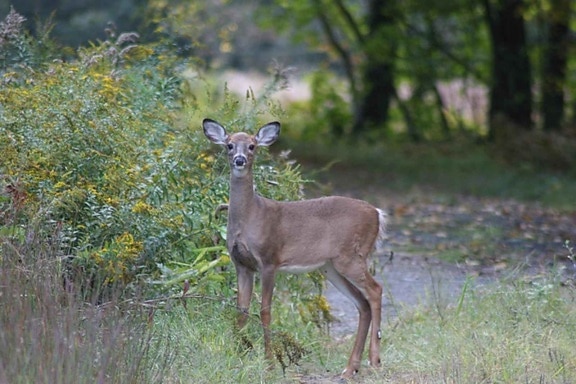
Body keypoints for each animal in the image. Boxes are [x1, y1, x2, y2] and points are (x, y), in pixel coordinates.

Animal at [202, 118, 388, 378]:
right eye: (229, 145)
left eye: (252, 146)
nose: (239, 159)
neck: (251, 217)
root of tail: (377, 213)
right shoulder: (241, 264)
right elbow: (241, 309)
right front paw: (237, 354)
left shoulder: (269, 260)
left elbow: (265, 311)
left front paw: (269, 362)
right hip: (331, 267)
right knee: (362, 303)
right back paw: (350, 368)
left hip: (351, 256)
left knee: (375, 290)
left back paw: (374, 360)